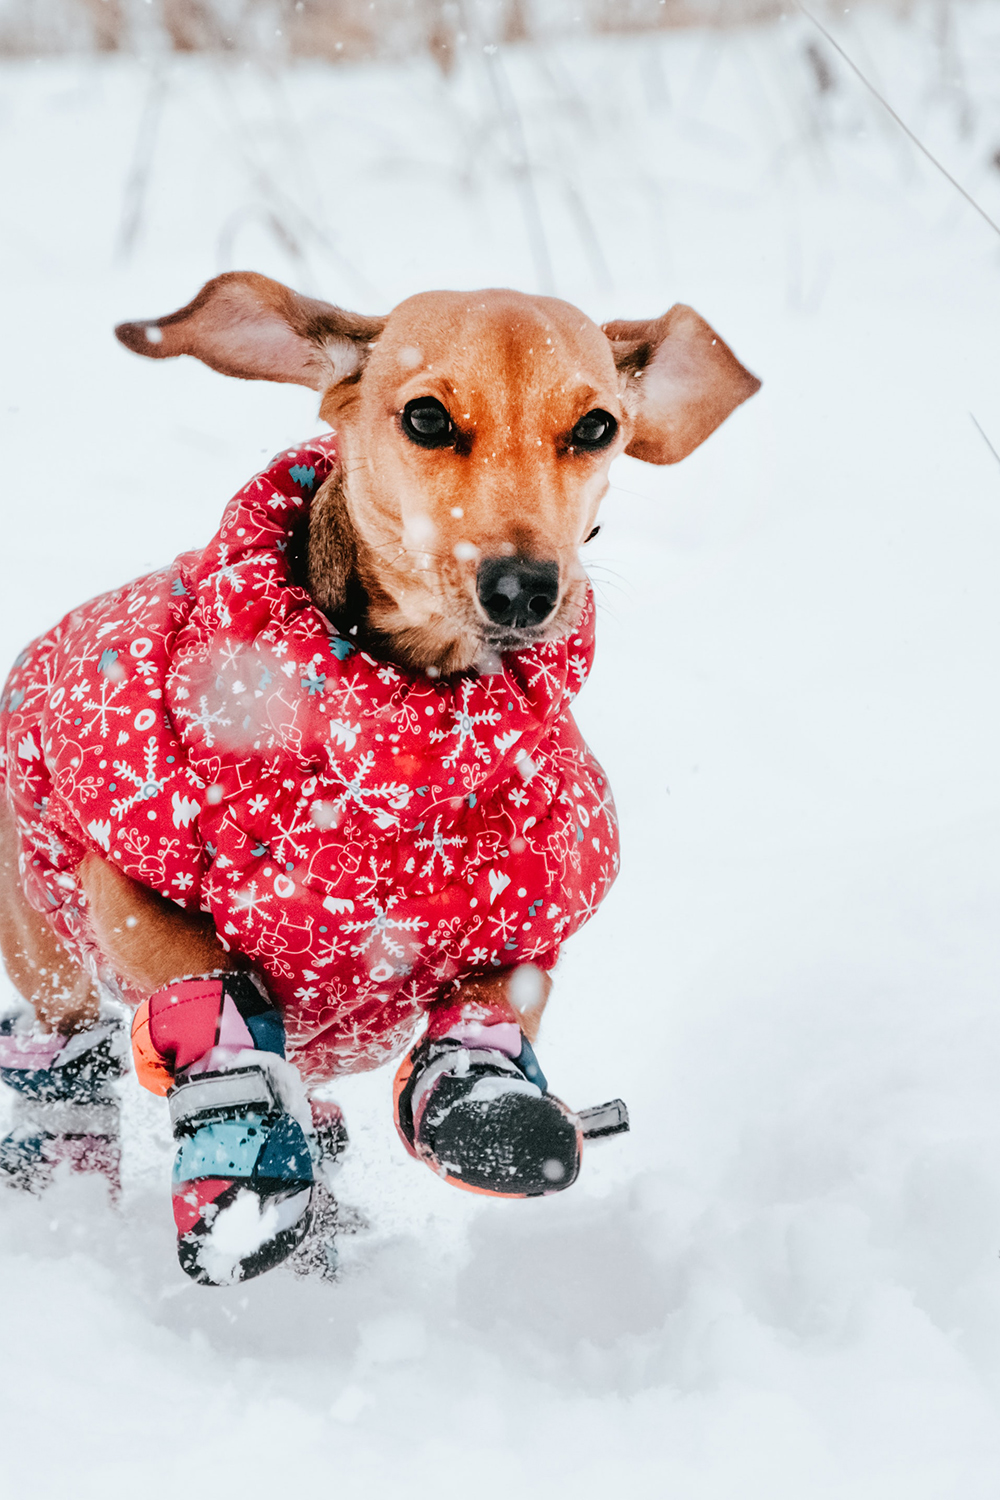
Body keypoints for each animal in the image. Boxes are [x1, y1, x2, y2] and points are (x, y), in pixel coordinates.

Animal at [0, 276, 758, 1284]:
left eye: (597, 426)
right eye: (427, 416)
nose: (524, 587)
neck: (399, 756)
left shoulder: (530, 910)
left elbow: (493, 1008)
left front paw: (485, 1104)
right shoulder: (124, 876)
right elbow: (205, 978)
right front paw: (243, 1151)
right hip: (48, 959)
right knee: (65, 1064)